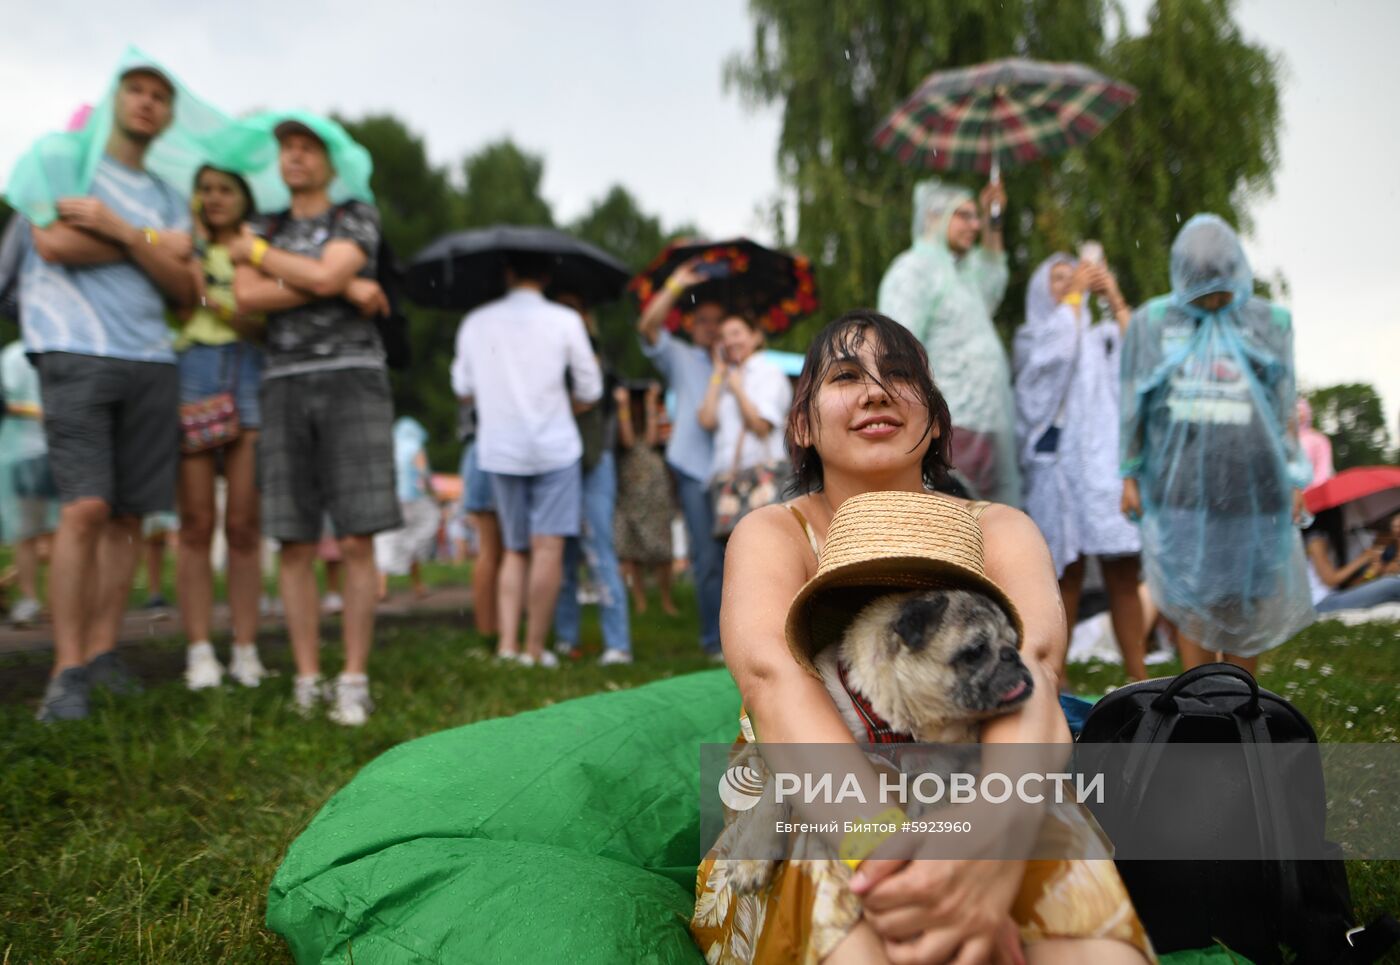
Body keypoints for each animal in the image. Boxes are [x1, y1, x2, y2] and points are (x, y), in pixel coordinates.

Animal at [722, 588, 1030, 896]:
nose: (1014, 655)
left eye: (1015, 643)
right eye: (976, 651)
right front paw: (752, 859)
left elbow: (928, 801)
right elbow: (772, 804)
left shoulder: (934, 769)